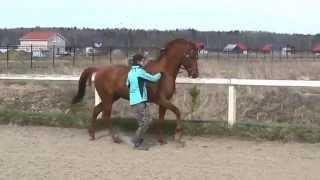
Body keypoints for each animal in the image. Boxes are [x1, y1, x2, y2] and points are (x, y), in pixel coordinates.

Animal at [71, 38, 199, 144]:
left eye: (196, 55)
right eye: (189, 55)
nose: (195, 74)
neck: (164, 72)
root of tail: (99, 70)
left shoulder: (164, 102)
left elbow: (161, 119)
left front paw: (162, 140)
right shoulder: (161, 100)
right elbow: (177, 111)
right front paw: (177, 134)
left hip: (111, 98)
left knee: (96, 110)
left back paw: (92, 134)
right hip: (107, 98)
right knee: (105, 116)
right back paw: (115, 138)